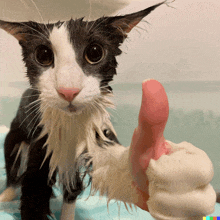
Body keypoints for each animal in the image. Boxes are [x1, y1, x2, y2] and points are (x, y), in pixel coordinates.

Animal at [0, 1, 165, 218]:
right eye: (43, 55)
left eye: (94, 53)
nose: (68, 90)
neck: (71, 126)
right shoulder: (42, 139)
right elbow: (34, 189)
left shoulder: (96, 133)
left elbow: (75, 187)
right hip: (16, 132)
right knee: (12, 163)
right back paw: (6, 194)